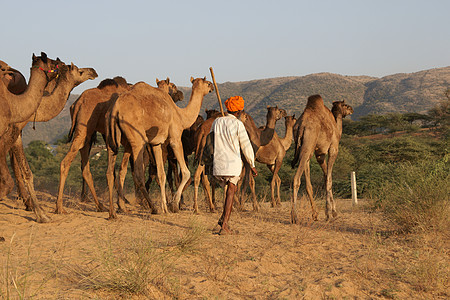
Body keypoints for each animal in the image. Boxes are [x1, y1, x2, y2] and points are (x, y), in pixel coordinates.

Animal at [105, 77, 213, 218]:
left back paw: (114, 212)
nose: (212, 87)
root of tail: (116, 109)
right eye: (208, 83)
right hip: (137, 139)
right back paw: (152, 208)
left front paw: (165, 208)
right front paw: (174, 205)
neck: (180, 115)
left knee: (111, 171)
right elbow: (186, 172)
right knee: (138, 174)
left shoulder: (156, 143)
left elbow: (161, 175)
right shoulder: (175, 137)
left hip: (112, 138)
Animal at [290, 95, 354, 224]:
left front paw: (331, 212)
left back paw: (314, 214)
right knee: (296, 179)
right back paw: (295, 217)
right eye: (345, 105)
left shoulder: (319, 154)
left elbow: (326, 177)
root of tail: (300, 127)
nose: (351, 109)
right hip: (308, 145)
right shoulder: (333, 148)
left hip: (305, 149)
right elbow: (329, 179)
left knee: (308, 184)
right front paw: (330, 213)